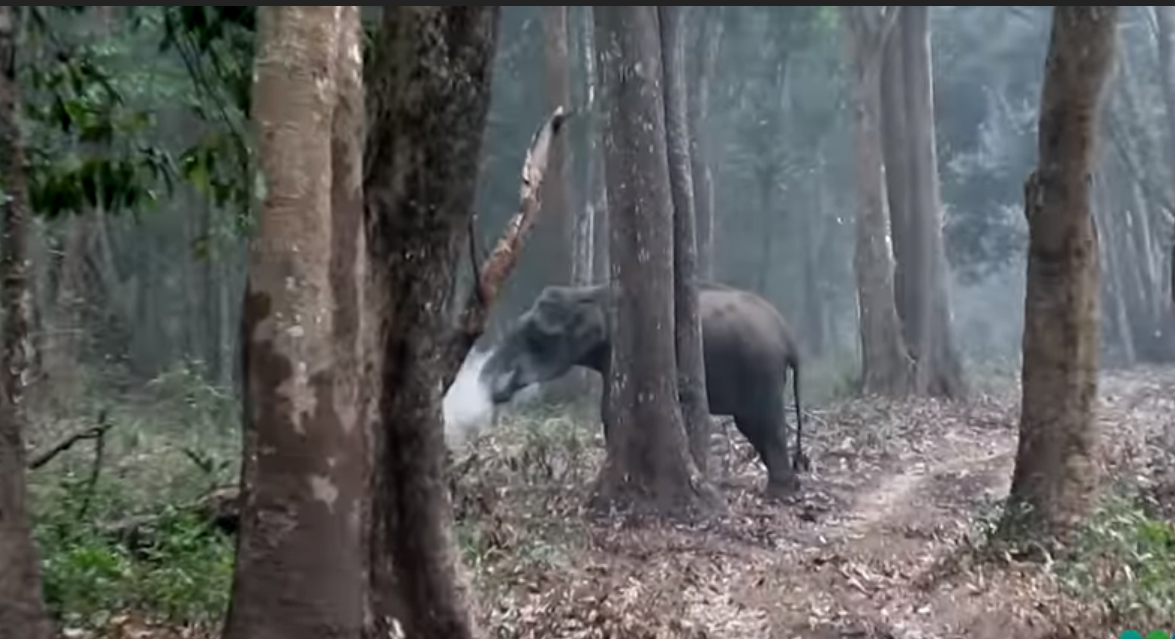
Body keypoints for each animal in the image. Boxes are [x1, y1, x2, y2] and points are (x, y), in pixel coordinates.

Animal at [479, 281, 807, 496]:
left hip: (760, 369)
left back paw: (778, 493)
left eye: (536, 337)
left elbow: (609, 408)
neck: (590, 293)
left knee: (762, 424)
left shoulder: (619, 349)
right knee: (754, 427)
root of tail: (789, 336)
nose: (493, 394)